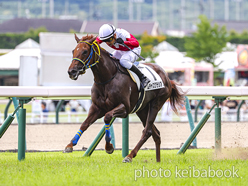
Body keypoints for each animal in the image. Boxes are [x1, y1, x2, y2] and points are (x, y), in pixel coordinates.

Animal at [65, 34, 185, 162]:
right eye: (73, 51)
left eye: (85, 51)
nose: (71, 71)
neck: (107, 79)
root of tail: (167, 78)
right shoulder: (97, 107)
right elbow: (85, 123)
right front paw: (70, 145)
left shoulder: (124, 108)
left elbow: (107, 117)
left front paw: (109, 147)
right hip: (142, 110)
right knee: (155, 133)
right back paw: (157, 161)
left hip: (156, 104)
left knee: (147, 131)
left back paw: (129, 156)